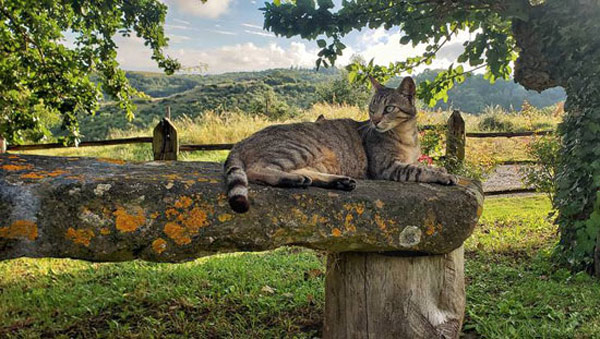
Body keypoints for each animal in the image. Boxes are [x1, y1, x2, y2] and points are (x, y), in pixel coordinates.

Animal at [224, 76, 454, 212]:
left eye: (389, 108)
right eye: (372, 108)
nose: (375, 120)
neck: (406, 135)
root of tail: (241, 141)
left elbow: (421, 164)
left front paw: (440, 169)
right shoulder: (387, 168)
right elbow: (418, 170)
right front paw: (444, 175)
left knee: (307, 172)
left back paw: (335, 181)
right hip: (297, 149)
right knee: (255, 170)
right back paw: (292, 179)